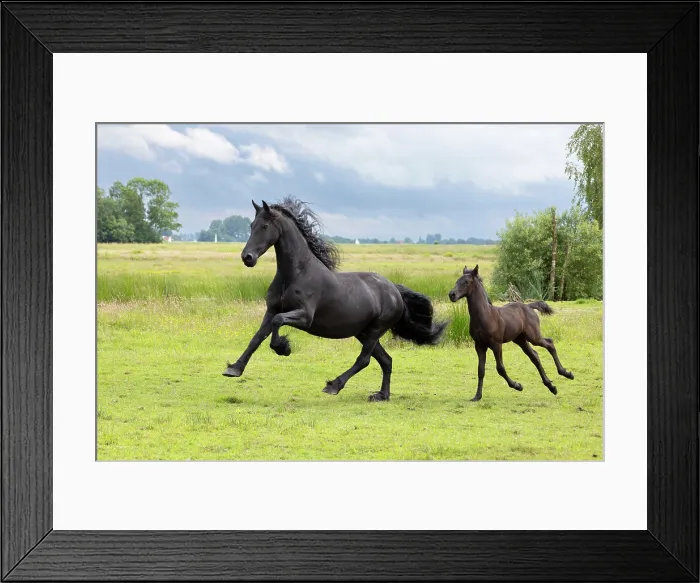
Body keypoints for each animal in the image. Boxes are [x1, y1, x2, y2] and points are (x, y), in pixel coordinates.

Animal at [222, 196, 448, 402]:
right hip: (363, 332)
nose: (247, 258)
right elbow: (257, 338)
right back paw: (381, 395)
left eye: (264, 226)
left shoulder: (304, 317)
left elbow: (278, 323)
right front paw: (234, 369)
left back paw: (334, 385)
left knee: (364, 359)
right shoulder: (271, 311)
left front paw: (283, 348)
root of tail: (395, 291)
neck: (296, 274)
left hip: (375, 330)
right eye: (251, 226)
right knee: (386, 360)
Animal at [448, 265, 574, 402]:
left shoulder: (496, 344)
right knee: (534, 356)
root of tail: (529, 306)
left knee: (549, 344)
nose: (452, 294)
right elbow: (480, 370)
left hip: (533, 337)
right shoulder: (479, 346)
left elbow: (500, 368)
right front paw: (477, 396)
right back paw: (552, 387)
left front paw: (517, 386)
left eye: (466, 282)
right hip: (520, 340)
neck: (485, 316)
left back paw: (567, 374)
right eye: (457, 280)